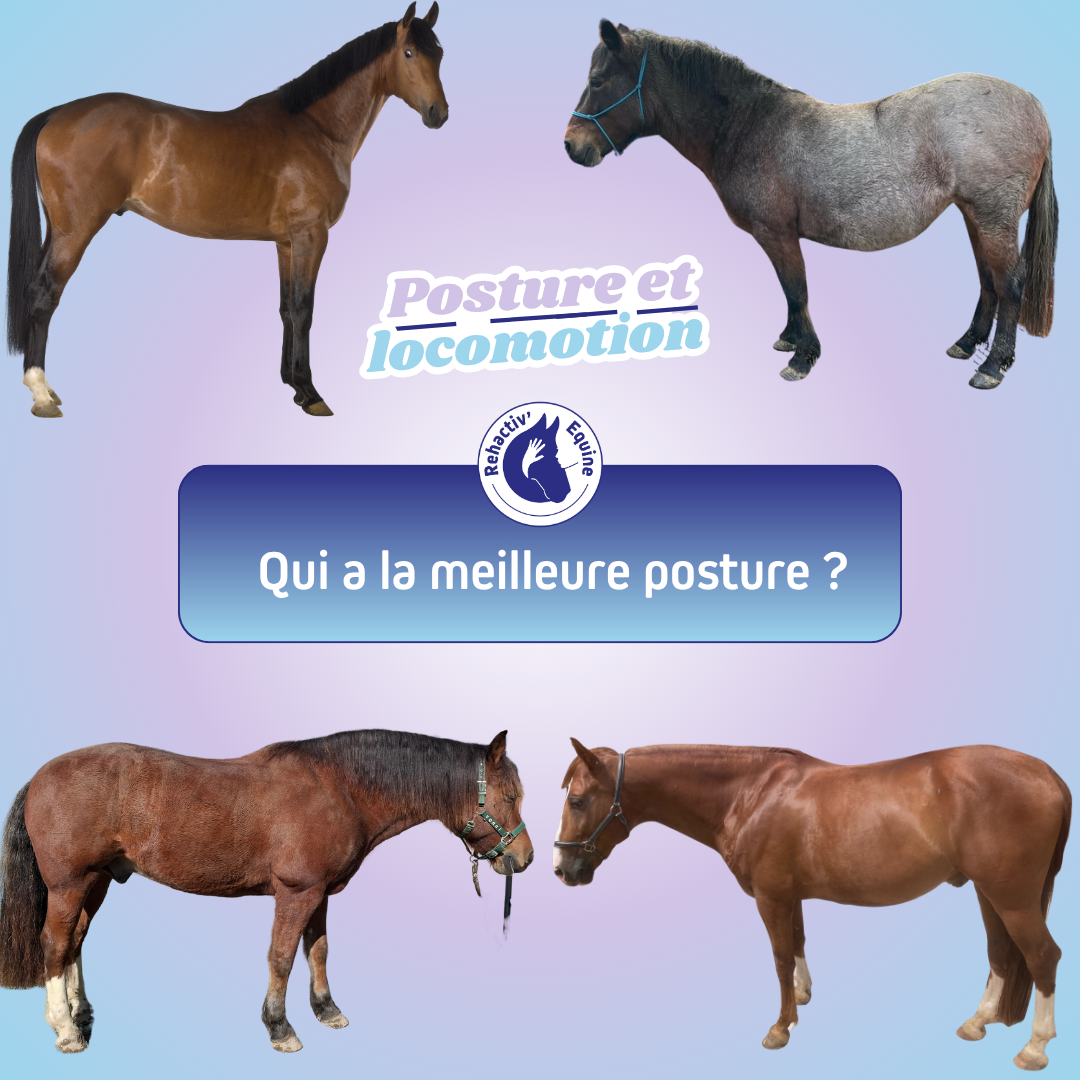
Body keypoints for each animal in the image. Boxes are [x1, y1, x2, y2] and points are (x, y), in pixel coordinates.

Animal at [0, 728, 532, 1054]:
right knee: (55, 944)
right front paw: (280, 1027)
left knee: (76, 941)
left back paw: (81, 1013)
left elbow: (318, 950)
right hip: (69, 884)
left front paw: (327, 1011)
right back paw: (65, 1029)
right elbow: (282, 957)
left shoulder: (320, 892)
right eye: (510, 796)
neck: (340, 788)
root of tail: (40, 776)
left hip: (97, 880)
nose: (524, 858)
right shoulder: (295, 892)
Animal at [6, 3, 446, 419]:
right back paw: (41, 394)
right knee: (44, 293)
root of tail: (55, 113)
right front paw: (311, 393)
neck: (316, 128)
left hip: (58, 229)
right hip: (75, 231)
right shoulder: (311, 235)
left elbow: (286, 309)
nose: (438, 114)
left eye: (439, 53)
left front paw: (292, 385)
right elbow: (304, 309)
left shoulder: (287, 243)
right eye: (409, 52)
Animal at [553, 740, 1070, 1071]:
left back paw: (1034, 1049)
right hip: (990, 893)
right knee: (1001, 953)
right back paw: (977, 1022)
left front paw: (781, 1027)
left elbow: (780, 956)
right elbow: (799, 943)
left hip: (1012, 897)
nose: (562, 869)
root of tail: (1048, 774)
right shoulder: (791, 895)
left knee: (1043, 956)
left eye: (577, 801)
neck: (750, 794)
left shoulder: (771, 897)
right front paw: (802, 996)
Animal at [565, 21, 1058, 391]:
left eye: (597, 80)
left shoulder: (778, 233)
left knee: (1009, 285)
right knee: (988, 281)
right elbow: (788, 292)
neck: (749, 126)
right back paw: (967, 343)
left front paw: (803, 357)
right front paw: (789, 340)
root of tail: (1034, 105)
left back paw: (992, 366)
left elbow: (796, 289)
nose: (572, 145)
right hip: (975, 215)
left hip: (993, 217)